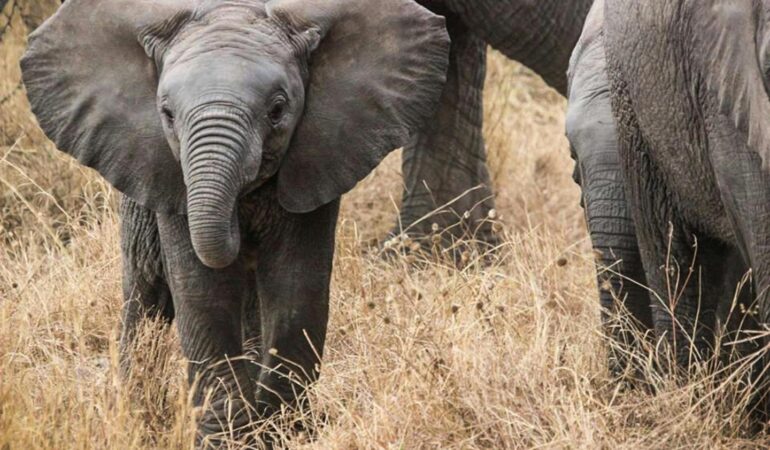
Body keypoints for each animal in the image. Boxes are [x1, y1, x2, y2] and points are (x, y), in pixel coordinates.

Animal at [21, 0, 450, 445]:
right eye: (167, 114)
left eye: (277, 110)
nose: (238, 224)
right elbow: (202, 291)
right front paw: (227, 438)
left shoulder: (321, 155)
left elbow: (296, 286)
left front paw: (283, 434)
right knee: (146, 292)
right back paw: (135, 416)